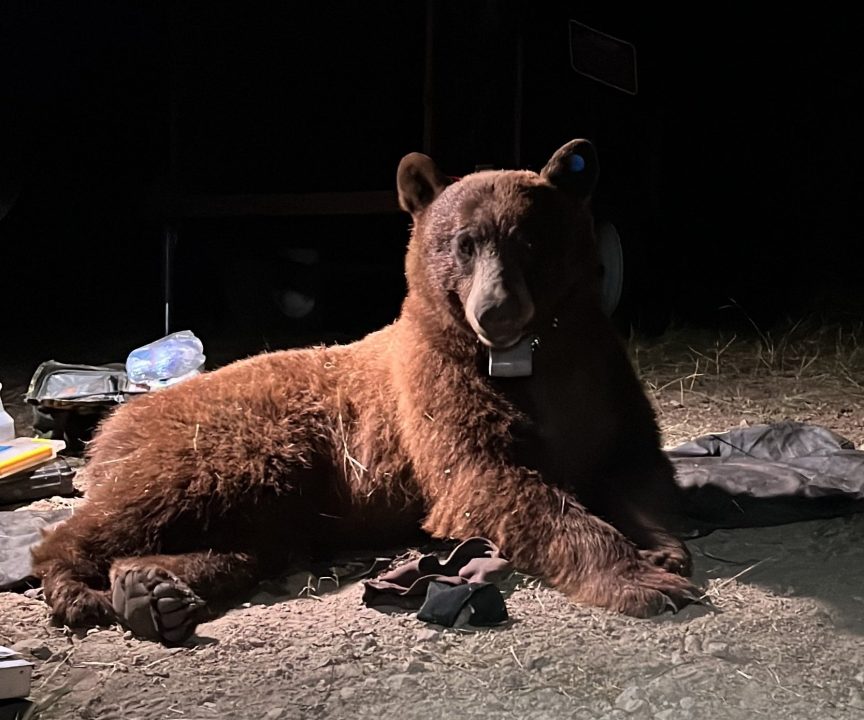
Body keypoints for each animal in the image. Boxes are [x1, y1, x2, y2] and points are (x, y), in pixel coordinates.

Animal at [30, 139, 700, 640]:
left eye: (530, 240)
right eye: (463, 242)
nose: (497, 310)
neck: (525, 358)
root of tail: (115, 423)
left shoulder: (602, 378)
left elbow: (636, 465)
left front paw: (661, 550)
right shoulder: (438, 392)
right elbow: (494, 480)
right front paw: (642, 579)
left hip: (273, 490)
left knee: (248, 543)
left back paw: (151, 588)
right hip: (229, 447)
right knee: (135, 509)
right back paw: (83, 587)